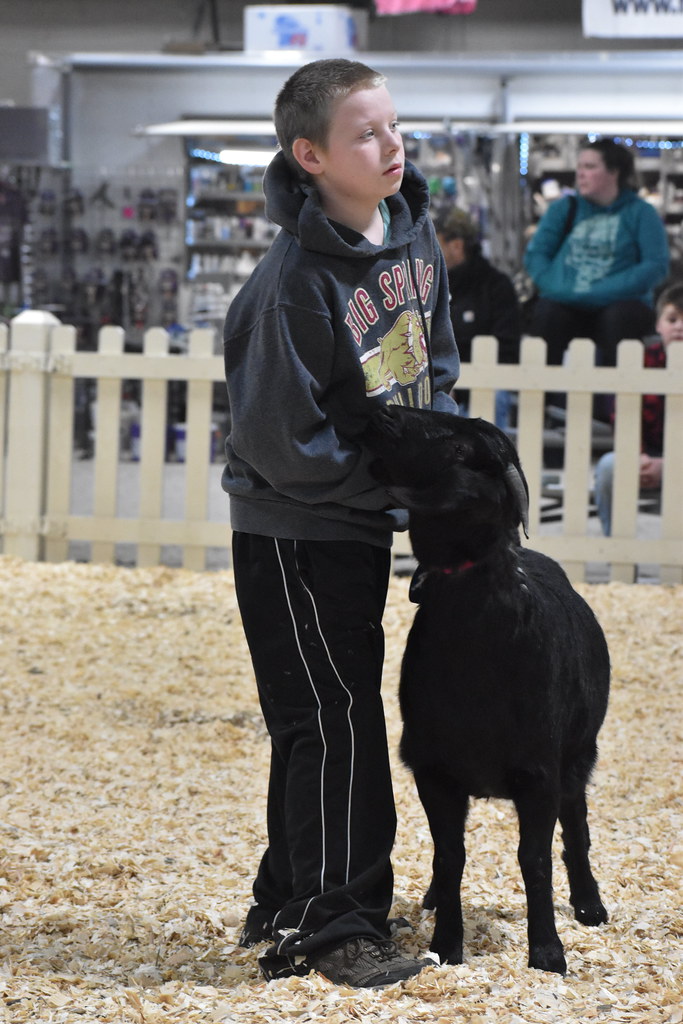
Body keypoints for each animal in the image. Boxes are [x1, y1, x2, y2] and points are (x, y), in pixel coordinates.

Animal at [365, 405, 609, 975]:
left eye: (459, 448)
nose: (384, 412)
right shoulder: (433, 769)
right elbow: (450, 855)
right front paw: (446, 944)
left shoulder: (539, 773)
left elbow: (535, 858)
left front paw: (547, 951)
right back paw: (434, 898)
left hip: (578, 753)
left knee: (577, 827)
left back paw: (589, 904)